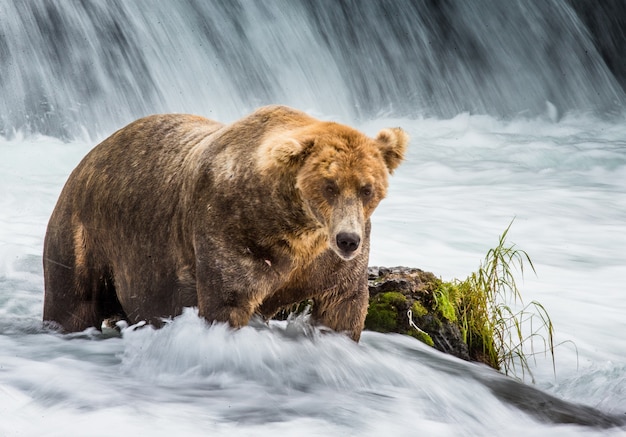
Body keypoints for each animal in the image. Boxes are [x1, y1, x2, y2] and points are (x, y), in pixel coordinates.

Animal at [41, 105, 408, 340]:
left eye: (367, 188)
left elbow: (343, 306)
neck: (295, 228)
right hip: (84, 232)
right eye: (329, 186)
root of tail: (88, 156)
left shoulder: (325, 263)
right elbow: (226, 303)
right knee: (72, 301)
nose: (347, 239)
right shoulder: (231, 232)